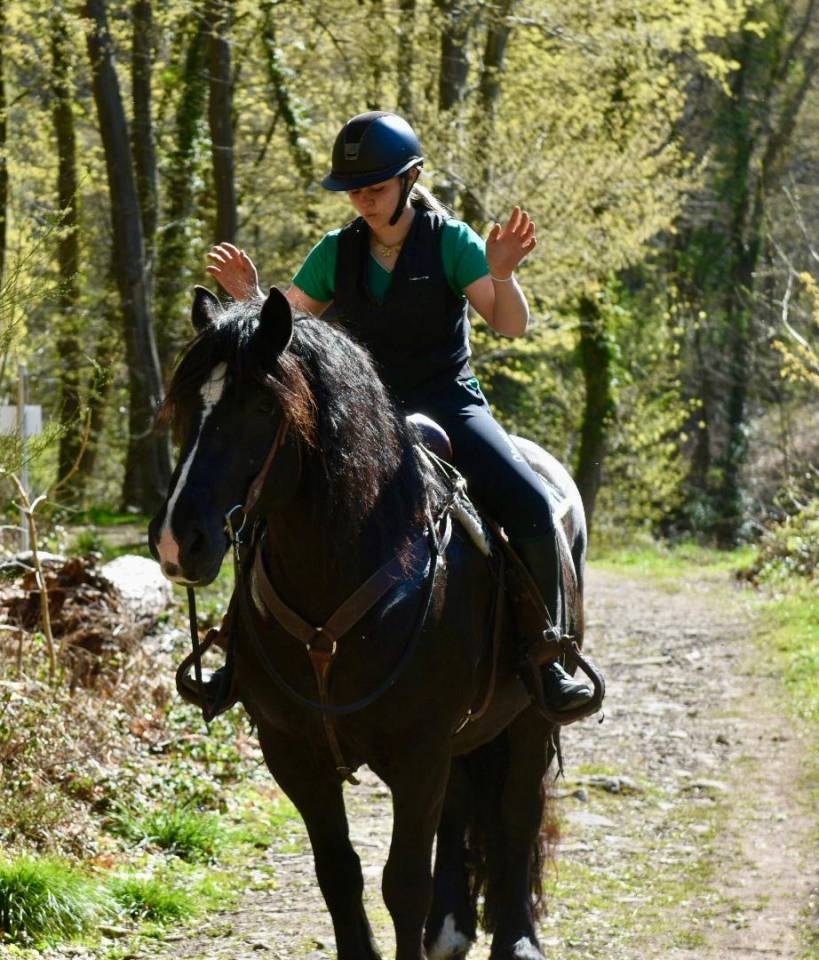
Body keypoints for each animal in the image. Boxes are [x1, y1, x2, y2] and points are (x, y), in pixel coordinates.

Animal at [148, 286, 593, 960]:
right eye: (186, 406)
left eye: (260, 406)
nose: (179, 541)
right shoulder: (293, 752)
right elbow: (339, 873)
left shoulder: (418, 752)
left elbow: (403, 883)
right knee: (461, 806)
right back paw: (450, 927)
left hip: (531, 717)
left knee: (516, 814)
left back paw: (516, 937)